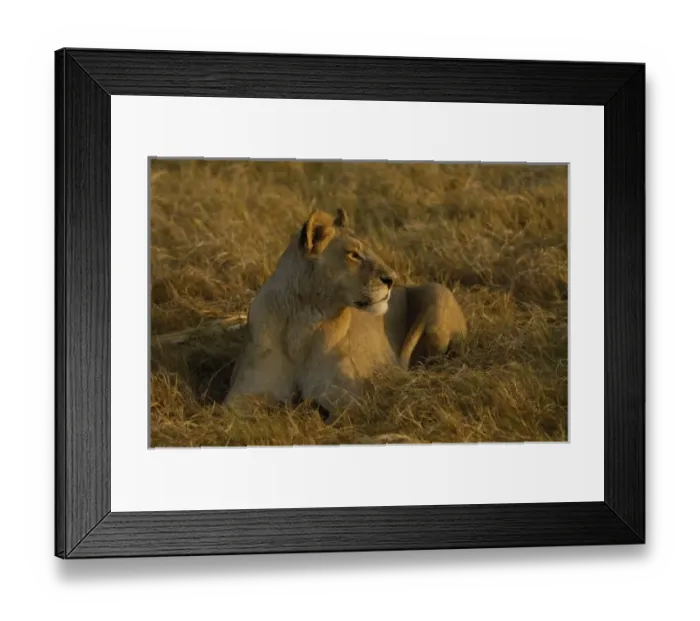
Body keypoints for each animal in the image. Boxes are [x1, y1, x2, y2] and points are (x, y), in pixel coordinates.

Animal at [224, 208, 466, 420]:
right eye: (353, 255)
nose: (392, 278)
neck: (302, 323)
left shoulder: (350, 400)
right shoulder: (242, 395)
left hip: (437, 295)